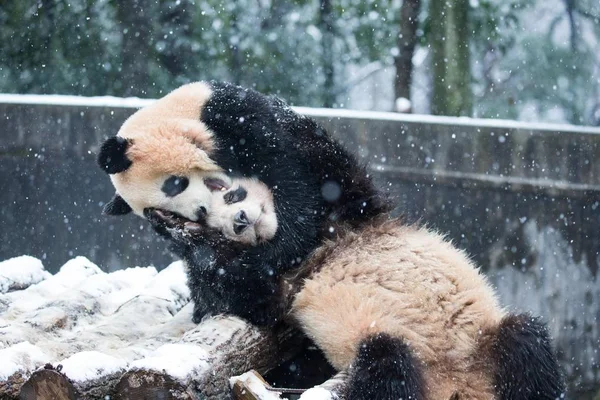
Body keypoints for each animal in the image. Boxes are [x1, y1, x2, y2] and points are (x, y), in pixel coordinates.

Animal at [96, 80, 564, 396]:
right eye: (195, 211)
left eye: (178, 183)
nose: (240, 222)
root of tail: (460, 387)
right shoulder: (277, 291)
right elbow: (239, 293)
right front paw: (192, 242)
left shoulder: (333, 186)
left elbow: (301, 168)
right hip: (397, 355)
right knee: (386, 366)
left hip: (484, 344)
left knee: (526, 341)